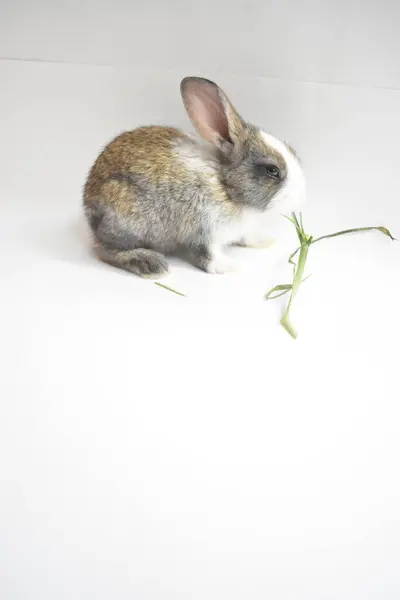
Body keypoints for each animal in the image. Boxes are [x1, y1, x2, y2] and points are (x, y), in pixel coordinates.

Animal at [83, 75, 304, 278]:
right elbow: (207, 255)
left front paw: (263, 241)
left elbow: (245, 236)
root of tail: (88, 204)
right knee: (104, 250)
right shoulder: (204, 231)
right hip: (125, 221)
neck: (226, 187)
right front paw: (228, 267)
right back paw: (151, 264)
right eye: (272, 170)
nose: (301, 197)